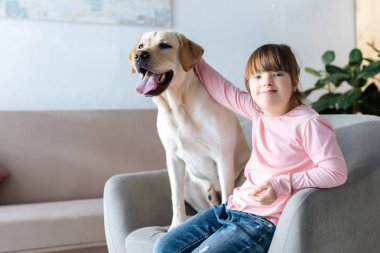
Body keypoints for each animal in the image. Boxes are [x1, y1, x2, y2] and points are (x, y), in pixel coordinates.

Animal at [129, 31, 251, 229]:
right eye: (141, 46)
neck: (177, 107)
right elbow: (176, 197)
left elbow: (227, 193)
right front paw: (176, 225)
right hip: (188, 180)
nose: (140, 55)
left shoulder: (223, 156)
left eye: (165, 45)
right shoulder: (173, 158)